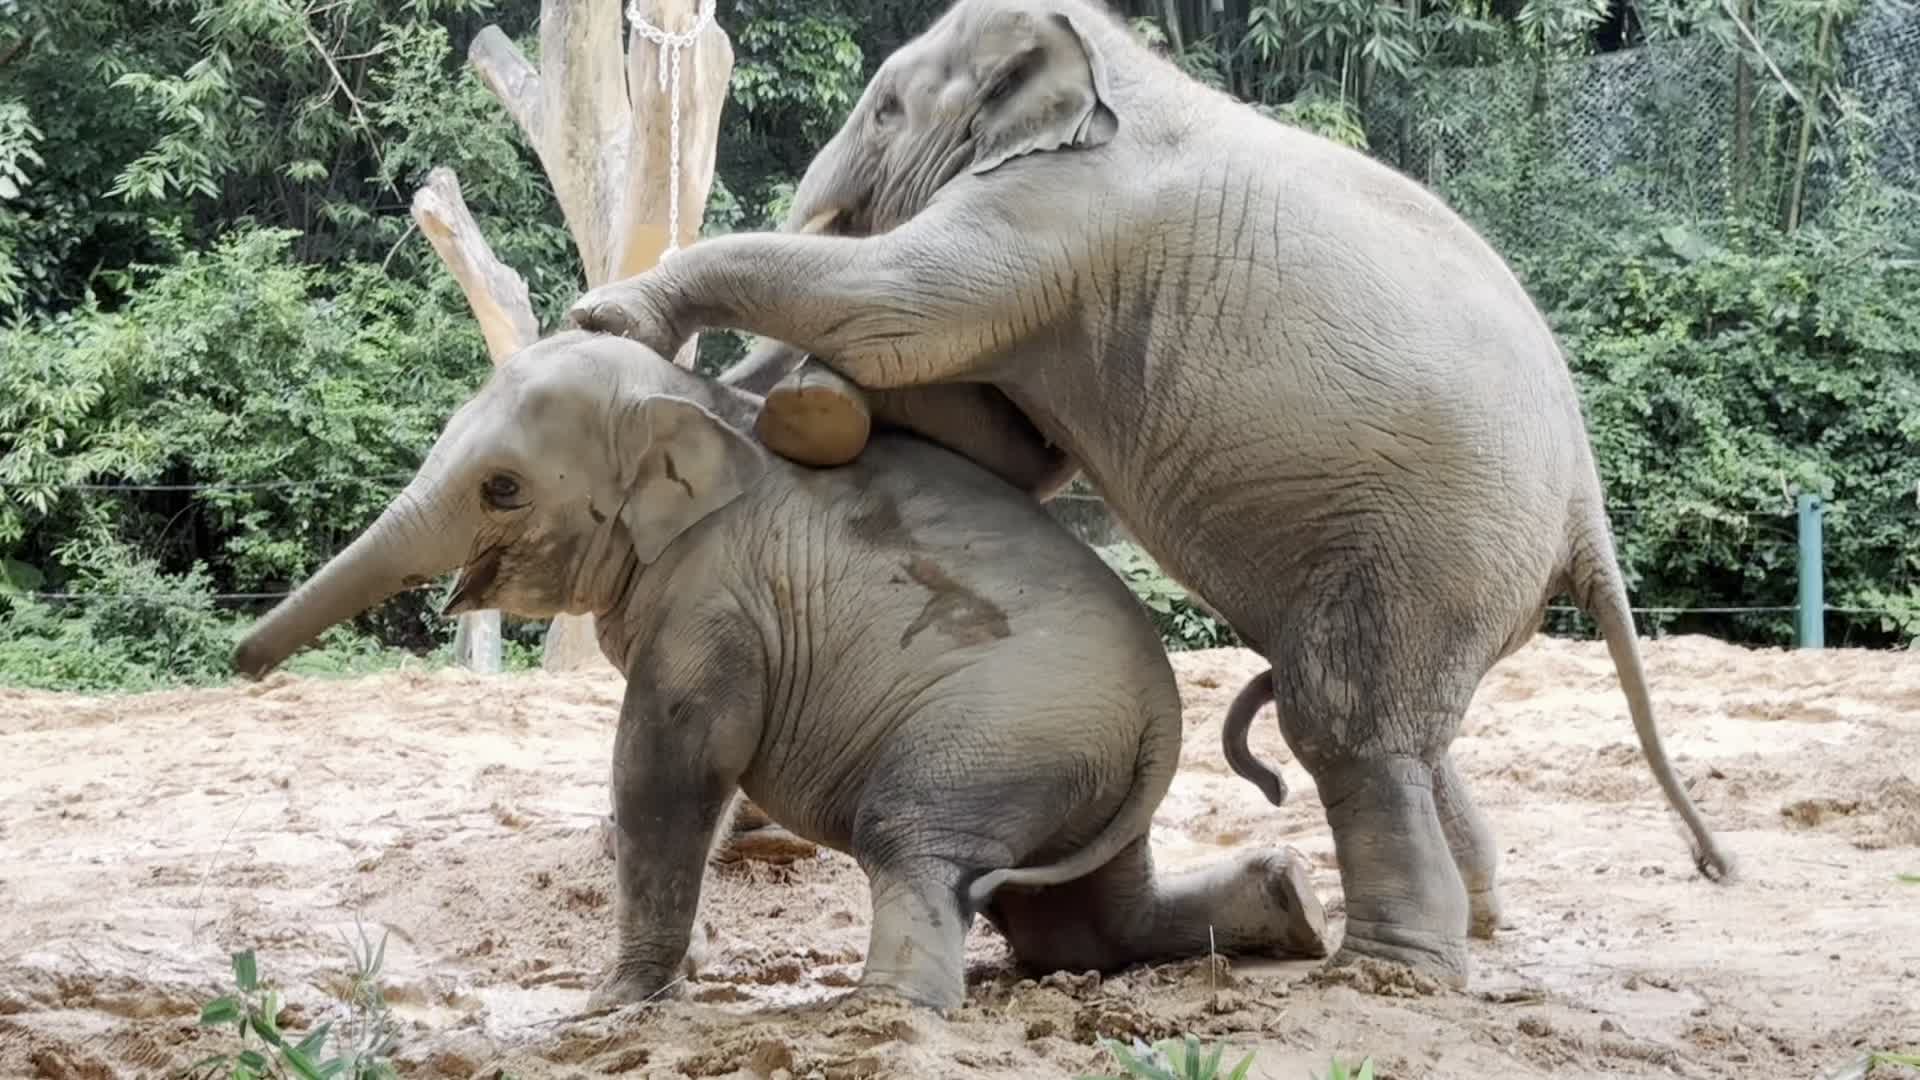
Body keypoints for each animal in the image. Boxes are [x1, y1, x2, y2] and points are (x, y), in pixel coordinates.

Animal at [224, 330, 1328, 1006]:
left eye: (501, 488)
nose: (241, 666)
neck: (701, 401)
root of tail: (1163, 719)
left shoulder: (713, 601)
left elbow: (667, 767)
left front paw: (611, 1003)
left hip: (999, 734)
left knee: (914, 847)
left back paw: (881, 1010)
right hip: (1084, 772)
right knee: (1085, 923)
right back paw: (1293, 908)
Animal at [560, 0, 1743, 983]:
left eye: (889, 109)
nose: (769, 395)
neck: (1115, 57)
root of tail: (1587, 504)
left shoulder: (1055, 216)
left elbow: (894, 311)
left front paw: (611, 323)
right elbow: (992, 431)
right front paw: (803, 407)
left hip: (1433, 542)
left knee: (1346, 729)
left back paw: (1384, 974)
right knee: (1409, 734)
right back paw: (1473, 926)